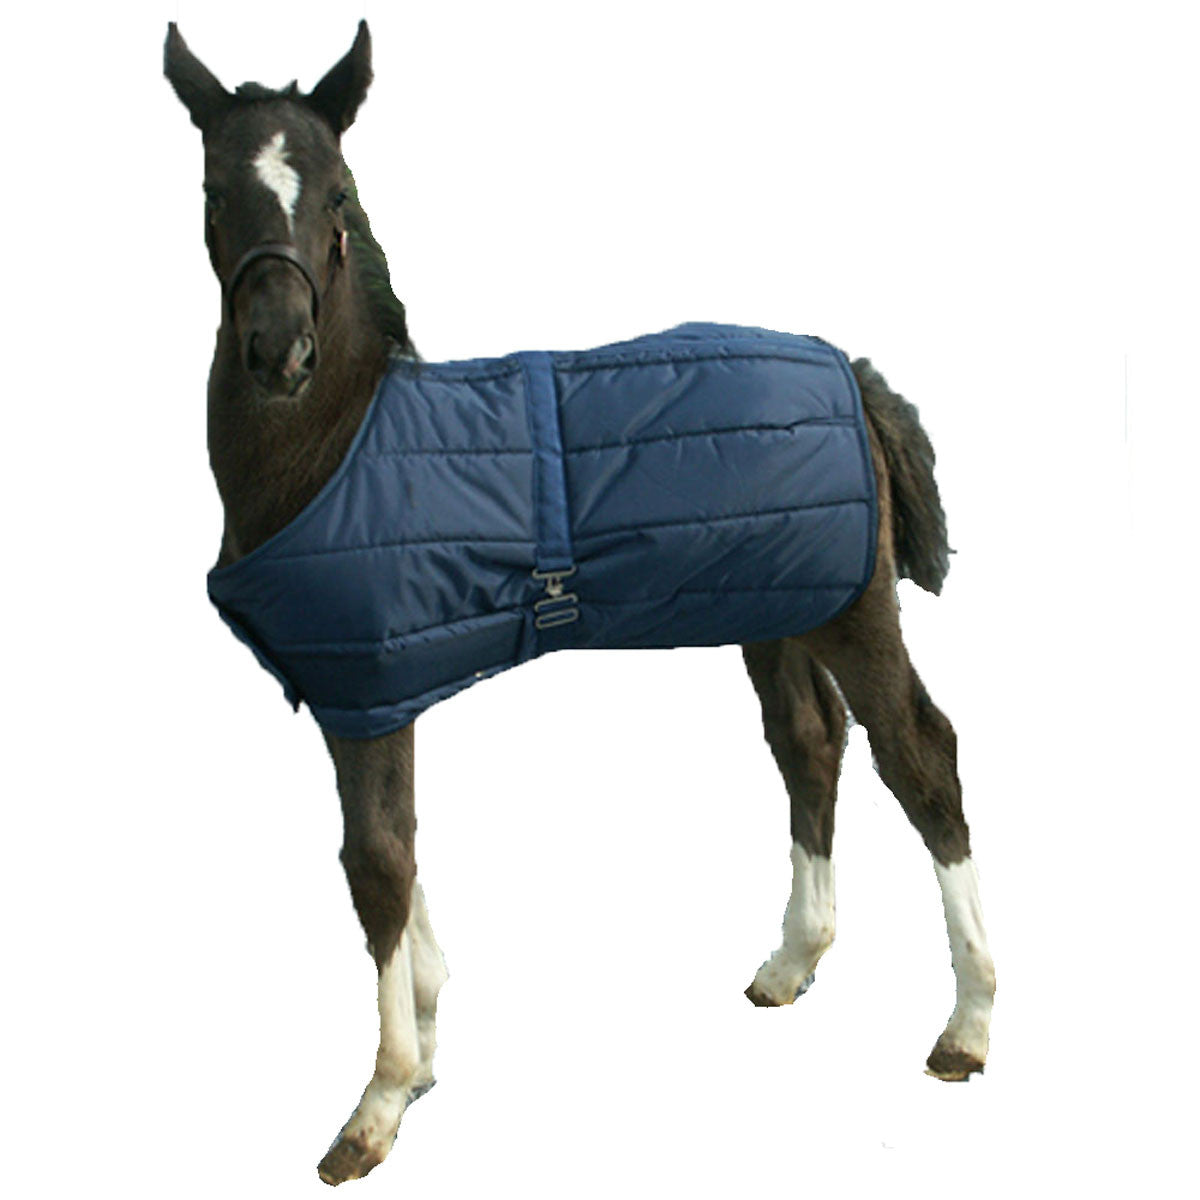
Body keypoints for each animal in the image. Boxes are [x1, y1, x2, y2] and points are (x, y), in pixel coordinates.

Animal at [164, 20, 995, 1186]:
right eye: (213, 189)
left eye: (335, 192)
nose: (279, 352)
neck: (340, 445)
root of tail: (854, 370)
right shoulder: (371, 688)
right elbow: (400, 850)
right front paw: (426, 1048)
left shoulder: (367, 688)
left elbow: (375, 864)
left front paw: (378, 1103)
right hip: (775, 607)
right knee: (809, 742)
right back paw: (793, 960)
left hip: (852, 607)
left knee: (919, 754)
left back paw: (967, 1023)